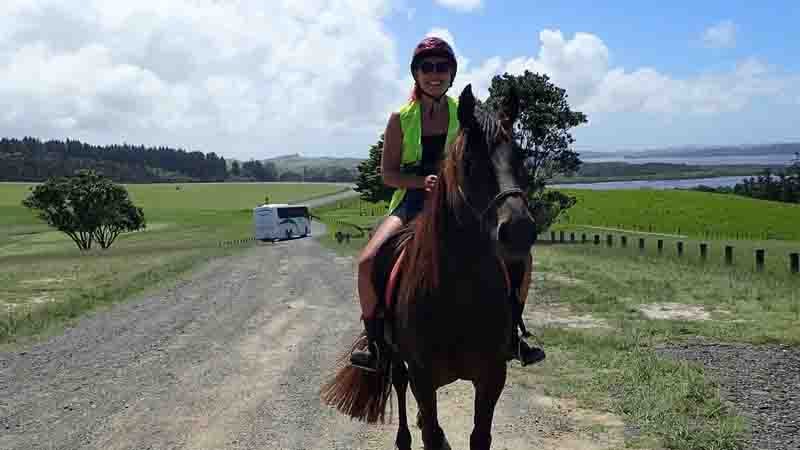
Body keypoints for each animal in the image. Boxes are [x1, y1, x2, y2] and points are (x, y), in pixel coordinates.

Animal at [320, 84, 536, 450]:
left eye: (519, 157)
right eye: (469, 161)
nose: (519, 230)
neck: (461, 292)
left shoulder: (493, 376)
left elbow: (479, 436)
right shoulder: (423, 376)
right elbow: (431, 433)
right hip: (395, 358)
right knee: (399, 386)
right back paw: (404, 437)